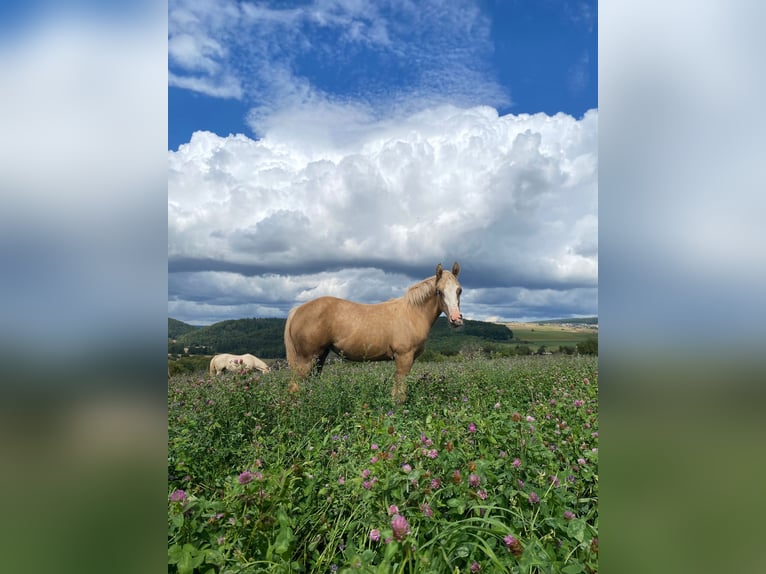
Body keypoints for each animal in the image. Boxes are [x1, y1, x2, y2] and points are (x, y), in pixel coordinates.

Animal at [284, 262, 463, 403]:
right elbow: (399, 394)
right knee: (294, 388)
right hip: (306, 359)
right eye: (439, 291)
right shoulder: (403, 357)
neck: (412, 313)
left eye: (459, 290)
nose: (456, 319)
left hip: (319, 357)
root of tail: (297, 309)